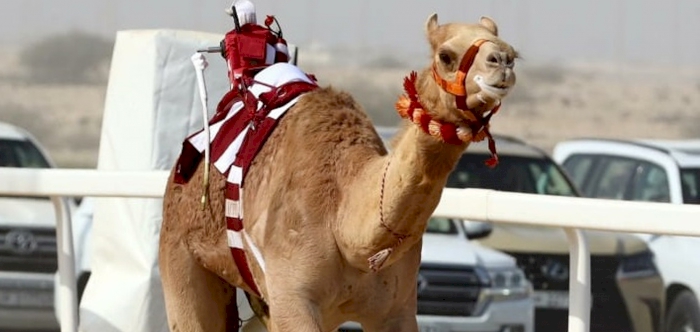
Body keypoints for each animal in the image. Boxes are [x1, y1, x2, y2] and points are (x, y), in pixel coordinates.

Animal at [161, 11, 516, 330]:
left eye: (506, 47)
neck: (344, 223)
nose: (503, 60)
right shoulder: (293, 298)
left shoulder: (396, 309)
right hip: (180, 252)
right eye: (445, 56)